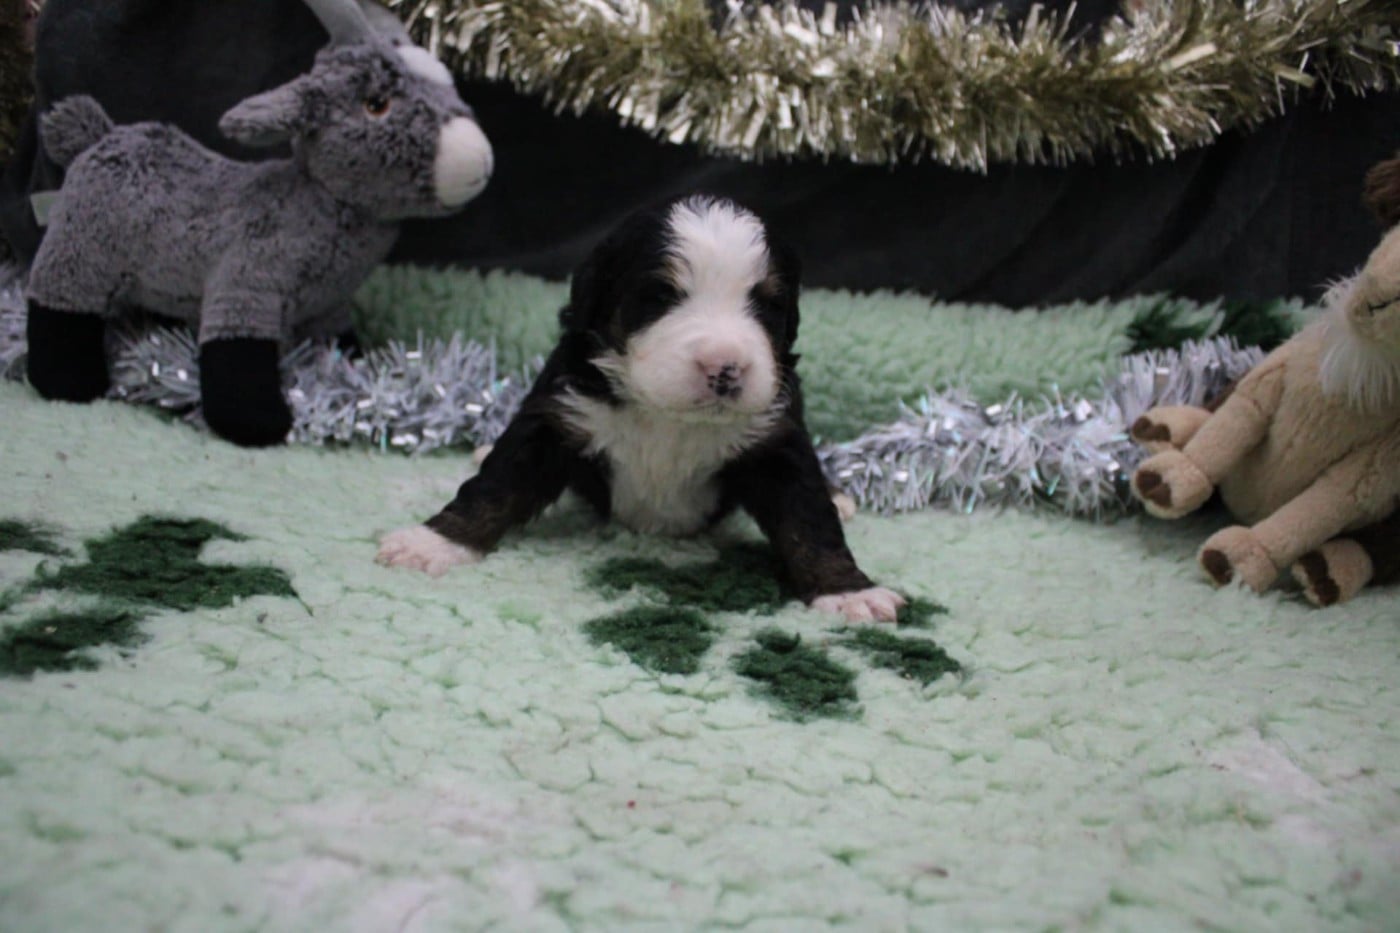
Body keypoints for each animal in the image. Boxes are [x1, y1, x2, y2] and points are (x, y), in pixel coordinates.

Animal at [377, 194, 904, 622]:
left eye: (768, 306)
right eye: (660, 297)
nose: (725, 367)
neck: (669, 417)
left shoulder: (775, 441)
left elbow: (808, 520)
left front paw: (847, 592)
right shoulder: (559, 416)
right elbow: (495, 486)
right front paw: (434, 542)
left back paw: (839, 495)